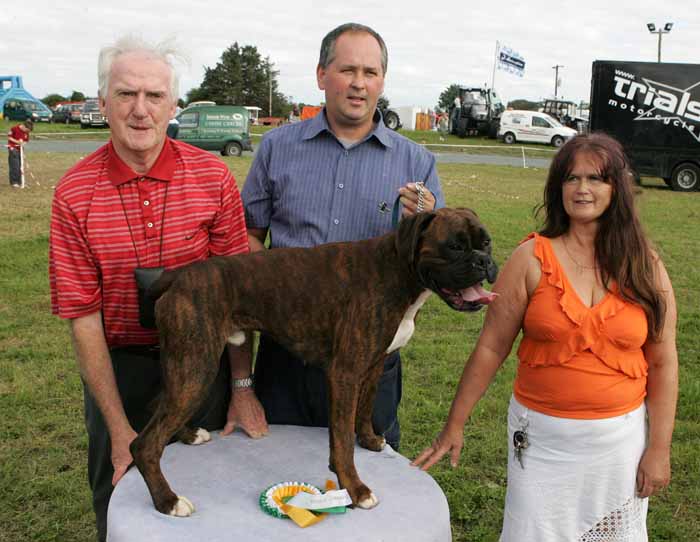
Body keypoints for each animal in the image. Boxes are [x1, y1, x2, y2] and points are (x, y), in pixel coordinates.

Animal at [131, 207, 498, 520]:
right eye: (454, 246)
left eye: (486, 242)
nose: (485, 261)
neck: (397, 270)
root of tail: (179, 276)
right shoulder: (345, 373)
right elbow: (342, 441)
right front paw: (356, 489)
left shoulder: (374, 365)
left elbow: (364, 411)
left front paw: (369, 440)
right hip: (196, 366)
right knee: (144, 443)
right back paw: (168, 501)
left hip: (185, 365)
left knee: (156, 406)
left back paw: (189, 435)